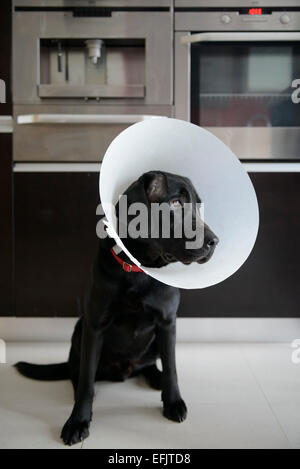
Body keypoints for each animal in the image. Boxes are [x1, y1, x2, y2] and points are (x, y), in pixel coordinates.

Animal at [14, 170, 218, 444]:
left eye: (198, 205)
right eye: (176, 203)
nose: (215, 241)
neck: (138, 270)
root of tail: (124, 371)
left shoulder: (167, 322)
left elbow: (172, 368)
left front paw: (173, 402)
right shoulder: (95, 325)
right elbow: (86, 381)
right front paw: (77, 421)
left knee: (153, 365)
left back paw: (156, 378)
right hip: (79, 329)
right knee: (77, 371)